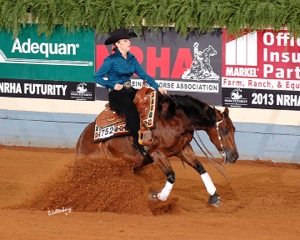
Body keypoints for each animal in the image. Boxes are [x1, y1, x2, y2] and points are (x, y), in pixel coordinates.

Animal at [75, 88, 239, 206]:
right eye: (224, 130)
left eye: (234, 129)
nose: (234, 156)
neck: (174, 118)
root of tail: (81, 142)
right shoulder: (157, 153)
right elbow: (171, 175)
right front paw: (159, 196)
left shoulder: (182, 149)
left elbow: (200, 168)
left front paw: (214, 195)